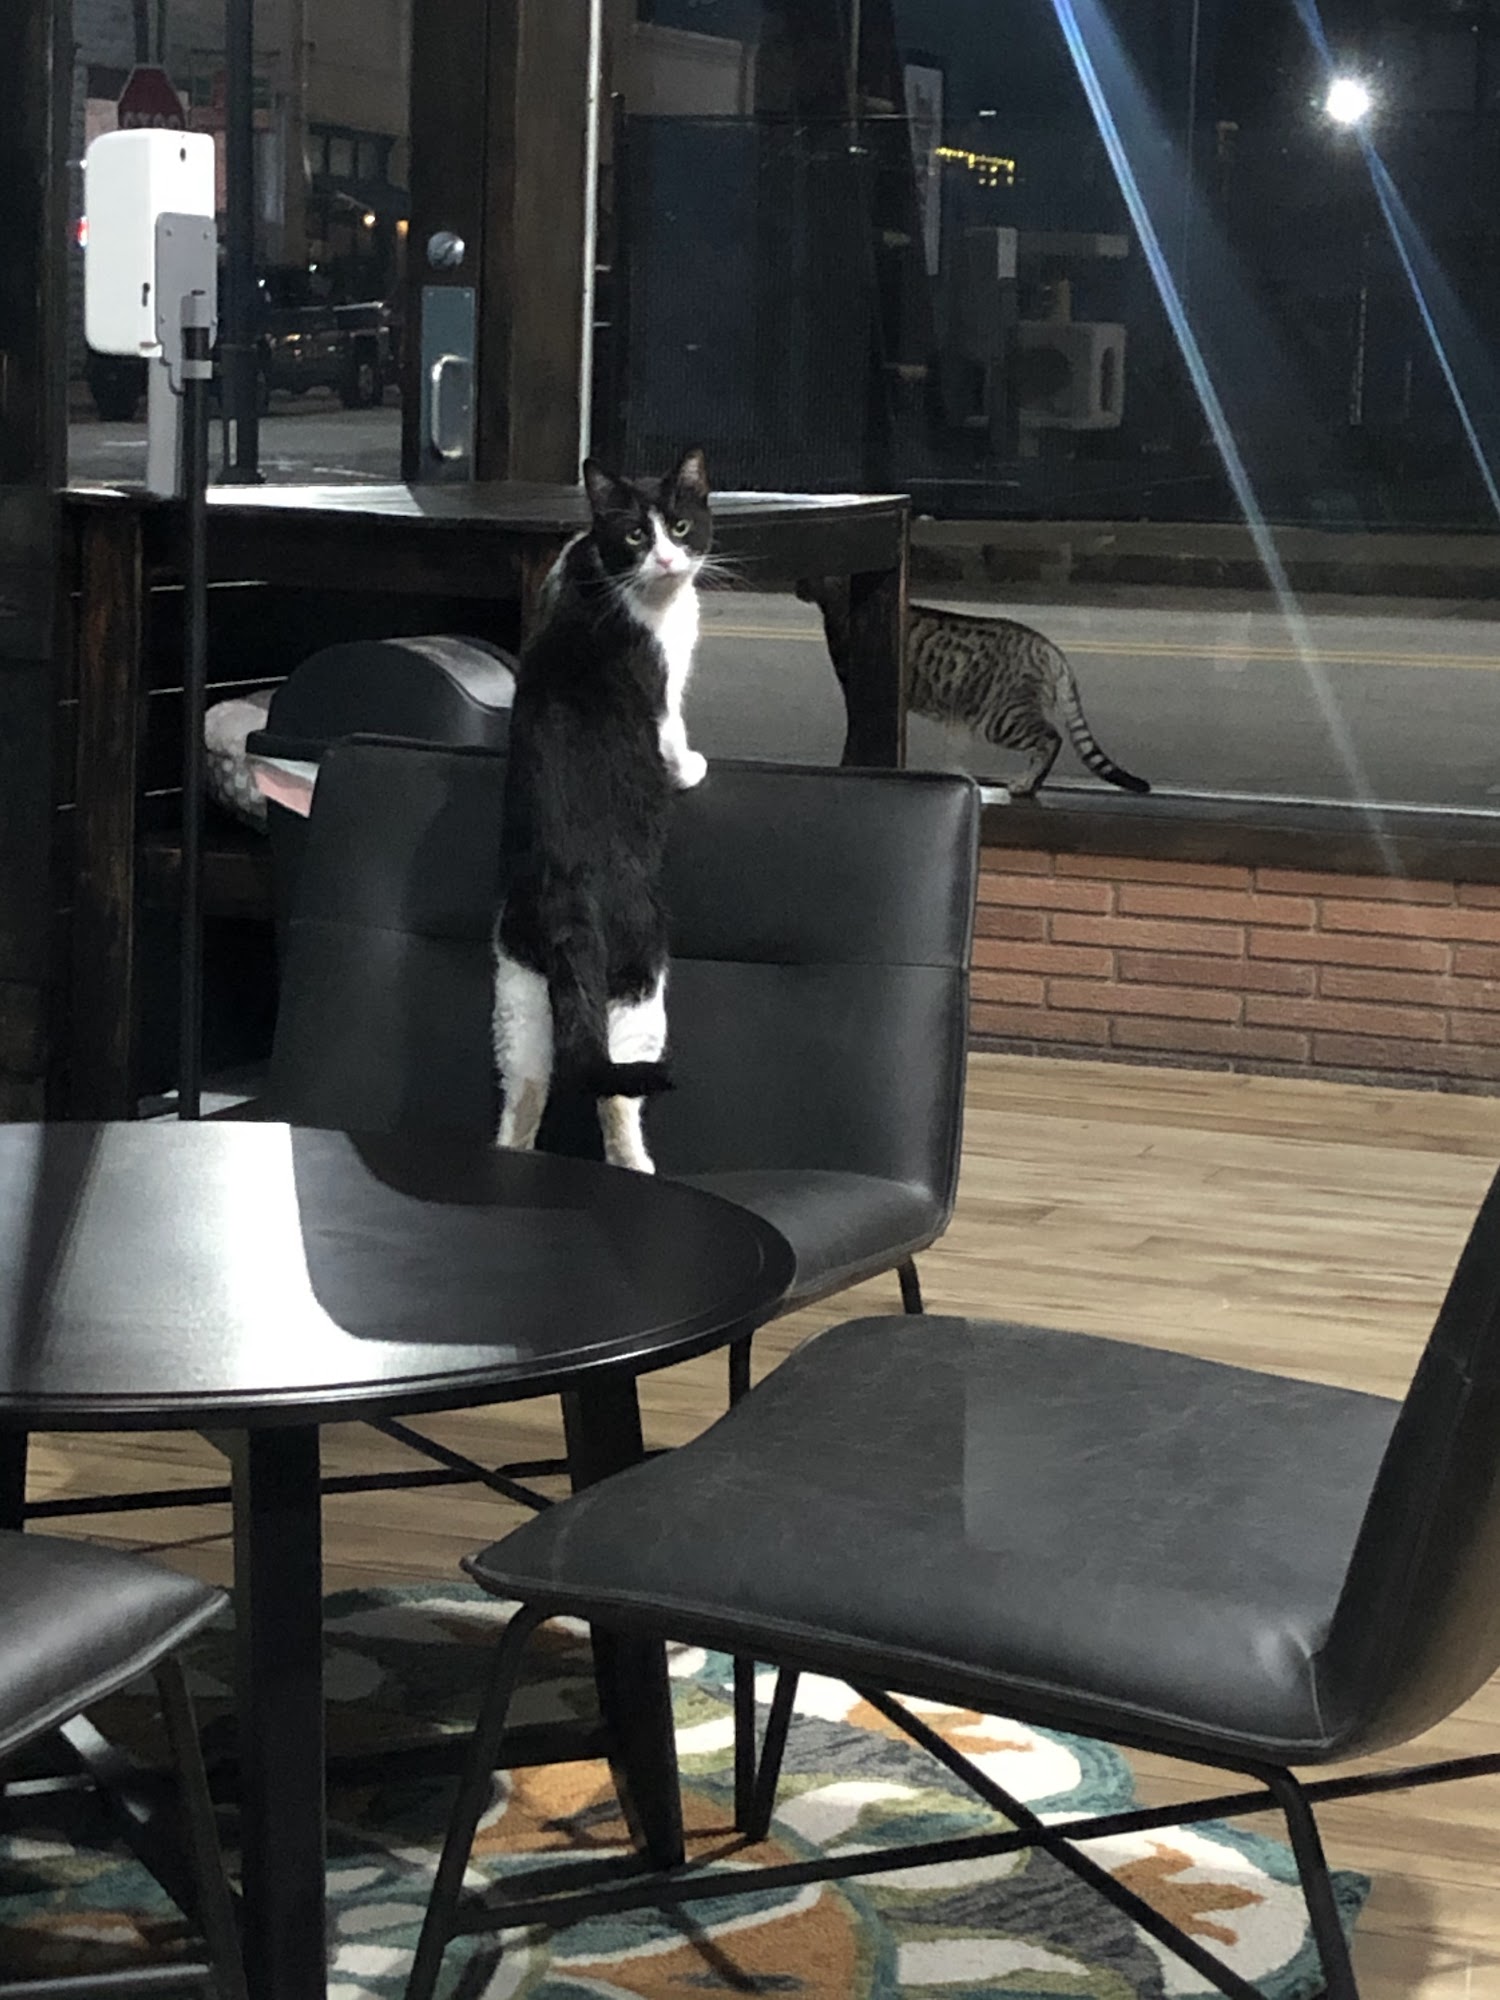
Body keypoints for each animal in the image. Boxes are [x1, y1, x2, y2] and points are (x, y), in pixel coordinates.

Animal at [492, 447, 712, 1174]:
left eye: (679, 525)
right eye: (637, 535)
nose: (668, 560)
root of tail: (568, 893)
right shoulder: (664, 690)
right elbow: (672, 735)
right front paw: (692, 768)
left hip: (519, 988)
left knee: (528, 1090)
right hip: (640, 983)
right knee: (614, 1094)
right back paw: (637, 1167)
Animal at [797, 577, 1149, 797]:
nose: (797, 587)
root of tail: (1049, 648)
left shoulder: (857, 689)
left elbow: (855, 735)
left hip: (1001, 718)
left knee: (1051, 738)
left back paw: (1026, 784)